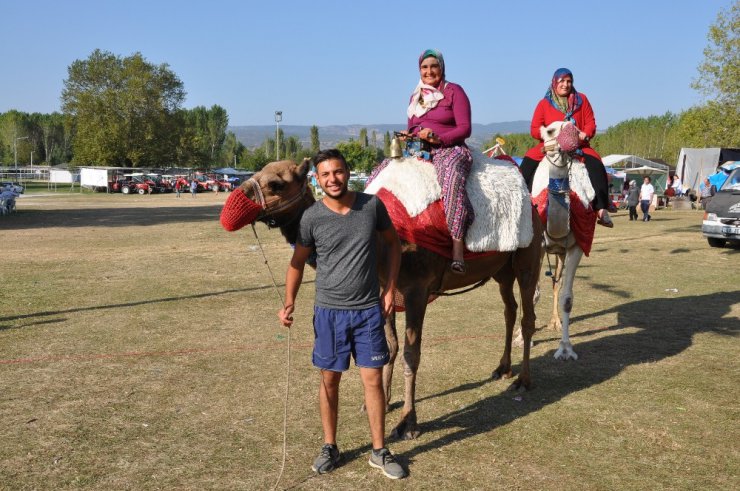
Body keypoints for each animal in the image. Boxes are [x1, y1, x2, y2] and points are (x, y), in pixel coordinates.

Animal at [220, 156, 544, 440]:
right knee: (509, 309)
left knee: (527, 315)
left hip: (528, 258)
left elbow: (411, 354)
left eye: (276, 183)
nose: (230, 208)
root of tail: (533, 206)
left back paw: (524, 381)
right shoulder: (382, 293)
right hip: (501, 269)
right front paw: (381, 401)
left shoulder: (416, 292)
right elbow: (389, 346)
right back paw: (502, 368)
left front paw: (407, 423)